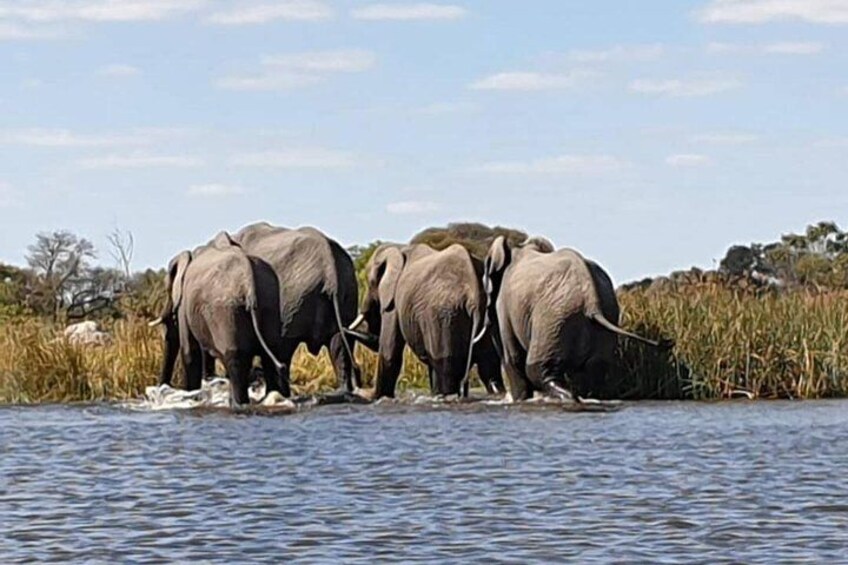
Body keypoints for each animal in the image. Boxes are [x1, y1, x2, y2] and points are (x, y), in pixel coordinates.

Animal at [156, 231, 292, 404]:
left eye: (167, 290)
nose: (161, 388)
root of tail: (249, 280)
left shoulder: (185, 304)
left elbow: (190, 353)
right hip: (270, 301)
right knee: (270, 356)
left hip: (226, 310)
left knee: (236, 360)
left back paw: (238, 404)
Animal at [348, 242, 500, 396]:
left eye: (369, 283)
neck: (396, 248)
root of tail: (474, 293)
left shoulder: (394, 301)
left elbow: (389, 352)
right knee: (490, 370)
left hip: (443, 317)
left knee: (446, 371)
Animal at [484, 236, 668, 404]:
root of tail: (591, 299)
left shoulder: (505, 306)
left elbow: (512, 358)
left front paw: (519, 401)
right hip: (601, 315)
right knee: (595, 371)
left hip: (554, 318)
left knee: (537, 370)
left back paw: (570, 398)